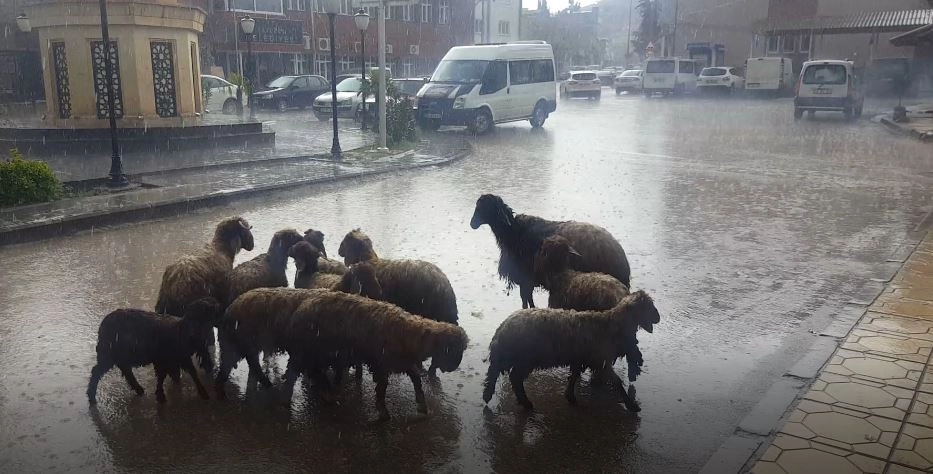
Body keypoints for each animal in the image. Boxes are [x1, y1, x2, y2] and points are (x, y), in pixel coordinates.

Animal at [87, 296, 222, 404]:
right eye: (214, 310)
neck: (183, 330)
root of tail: (104, 323)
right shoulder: (166, 359)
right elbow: (180, 374)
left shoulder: (174, 359)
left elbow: (174, 374)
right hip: (109, 351)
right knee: (97, 371)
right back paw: (91, 396)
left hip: (120, 353)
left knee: (125, 369)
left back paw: (138, 389)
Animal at [282, 290, 470, 420]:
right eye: (453, 349)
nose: (453, 368)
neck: (409, 333)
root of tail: (300, 309)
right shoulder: (382, 364)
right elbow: (382, 388)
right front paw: (383, 413)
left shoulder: (403, 362)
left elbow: (417, 380)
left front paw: (422, 406)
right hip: (309, 350)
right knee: (294, 373)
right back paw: (291, 399)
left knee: (315, 372)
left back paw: (327, 394)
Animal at [470, 193, 628, 310]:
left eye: (485, 207)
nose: (472, 224)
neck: (513, 232)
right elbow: (528, 300)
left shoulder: (525, 278)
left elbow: (526, 300)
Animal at [480, 288, 664, 412]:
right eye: (648, 307)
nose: (659, 318)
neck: (611, 325)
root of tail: (503, 327)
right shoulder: (600, 358)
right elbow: (617, 381)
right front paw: (631, 405)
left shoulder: (582, 358)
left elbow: (574, 375)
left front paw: (570, 396)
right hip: (524, 357)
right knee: (512, 377)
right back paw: (524, 402)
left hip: (515, 356)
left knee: (497, 372)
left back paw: (489, 395)